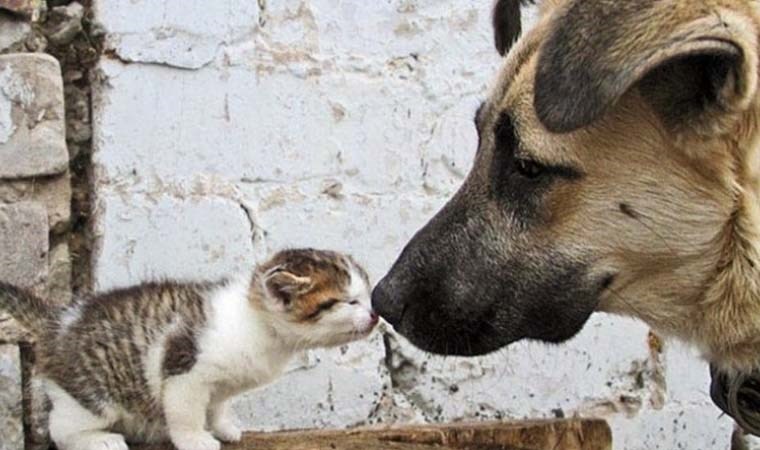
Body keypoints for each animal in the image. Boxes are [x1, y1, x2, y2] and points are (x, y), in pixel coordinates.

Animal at [0, 248, 378, 448]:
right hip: (92, 395)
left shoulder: (221, 384)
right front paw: (196, 439)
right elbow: (185, 413)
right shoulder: (185, 369)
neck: (258, 324)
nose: (375, 315)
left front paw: (224, 426)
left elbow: (219, 405)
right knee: (61, 428)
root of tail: (60, 320)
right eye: (348, 301)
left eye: (367, 296)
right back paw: (97, 439)